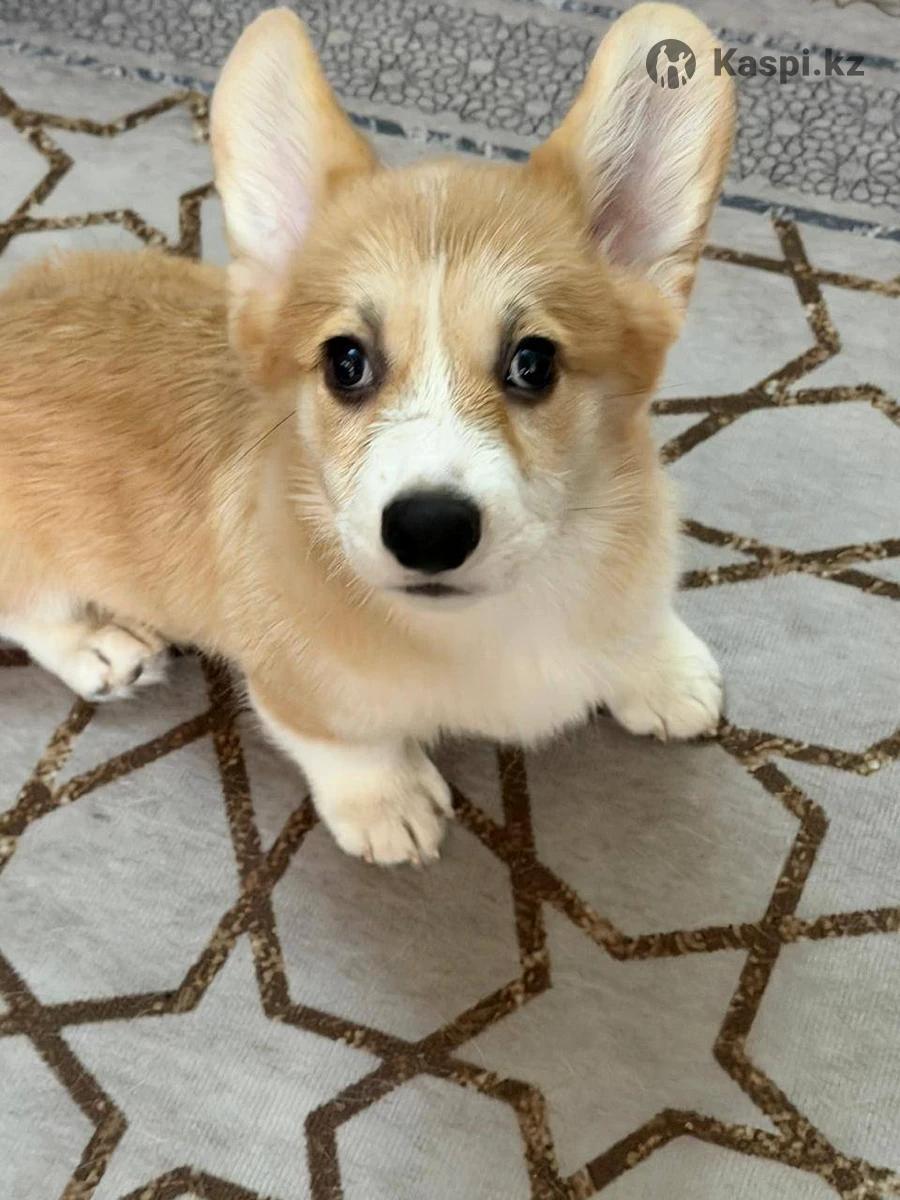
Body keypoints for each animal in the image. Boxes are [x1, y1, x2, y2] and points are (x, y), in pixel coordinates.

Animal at [0, 4, 735, 865]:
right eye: (345, 362)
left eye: (534, 362)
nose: (429, 530)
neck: (501, 615)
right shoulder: (295, 688)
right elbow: (346, 742)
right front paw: (388, 802)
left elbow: (636, 627)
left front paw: (662, 671)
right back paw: (98, 646)